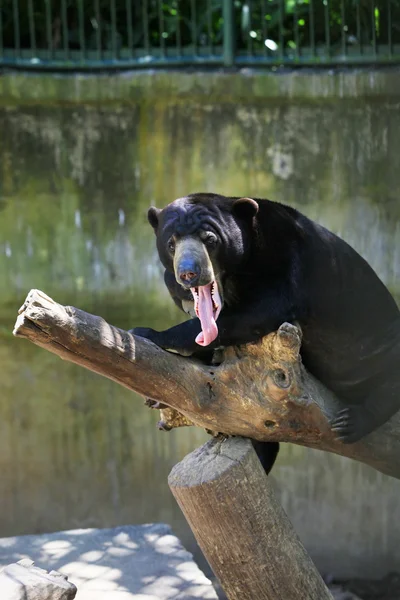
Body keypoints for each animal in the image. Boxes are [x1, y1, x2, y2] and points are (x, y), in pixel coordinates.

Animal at [133, 192, 400, 474]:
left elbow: (260, 312)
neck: (233, 279)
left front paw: (150, 333)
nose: (189, 274)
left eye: (210, 239)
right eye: (171, 244)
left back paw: (351, 423)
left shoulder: (287, 255)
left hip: (382, 342)